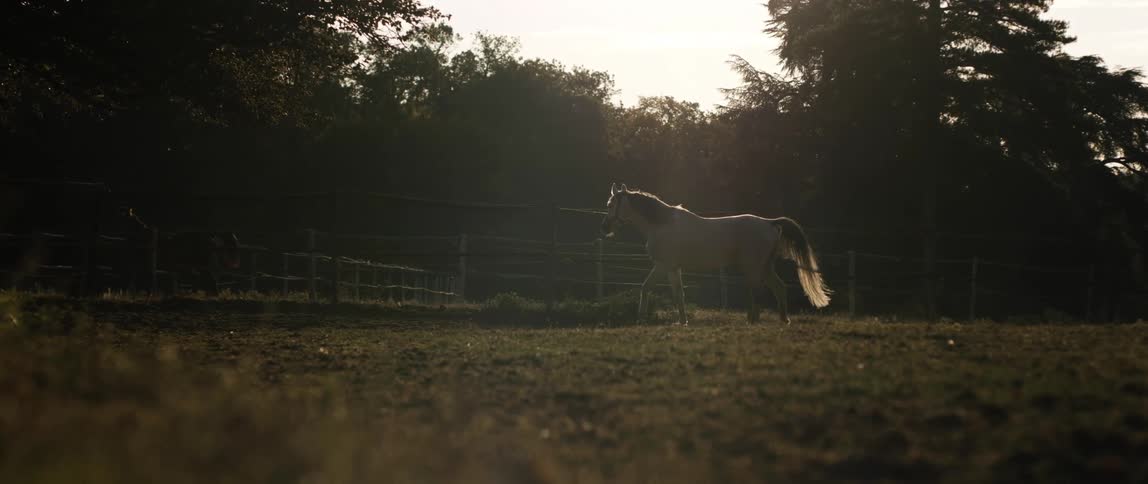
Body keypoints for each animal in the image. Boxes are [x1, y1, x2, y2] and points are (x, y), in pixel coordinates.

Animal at [600, 183, 831, 324]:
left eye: (612, 204)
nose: (605, 227)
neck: (661, 224)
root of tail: (769, 223)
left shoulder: (663, 265)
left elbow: (647, 288)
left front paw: (641, 319)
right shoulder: (673, 268)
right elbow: (677, 294)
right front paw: (682, 321)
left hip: (754, 267)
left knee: (756, 291)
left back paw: (753, 320)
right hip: (765, 267)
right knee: (779, 288)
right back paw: (782, 320)